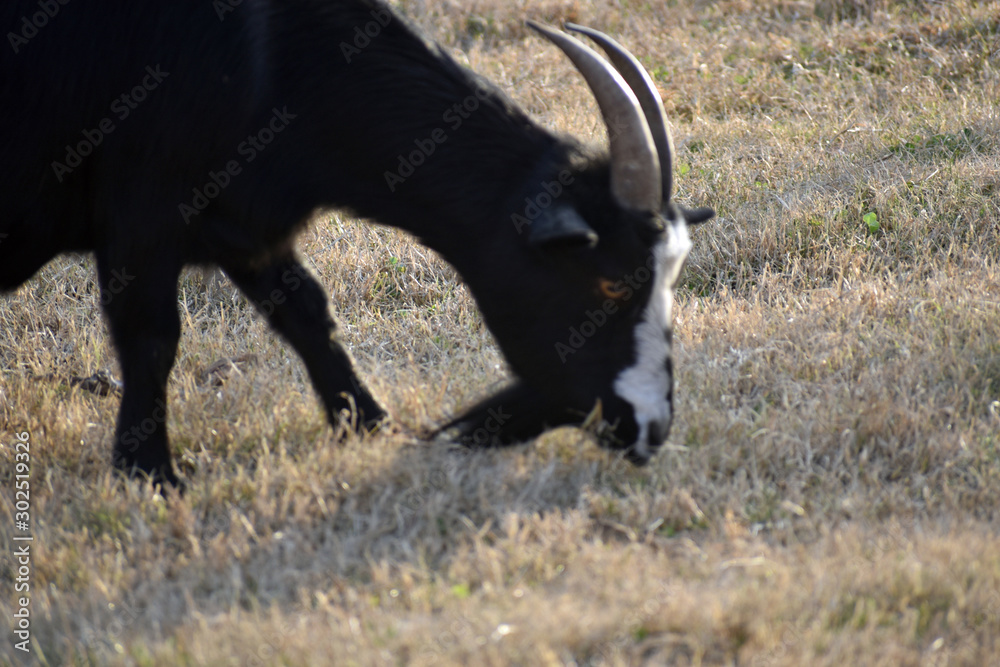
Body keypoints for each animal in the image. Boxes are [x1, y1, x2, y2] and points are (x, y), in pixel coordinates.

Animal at [0, 0, 713, 487]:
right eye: (611, 282)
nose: (653, 427)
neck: (273, 58)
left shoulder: (244, 220)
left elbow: (307, 313)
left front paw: (372, 428)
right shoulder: (144, 211)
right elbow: (151, 336)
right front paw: (150, 475)